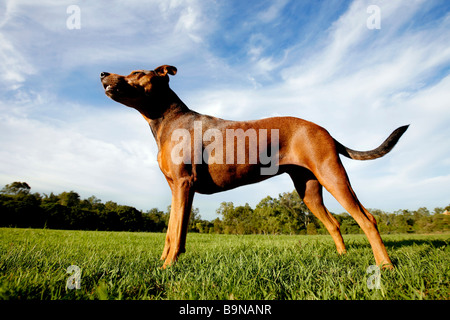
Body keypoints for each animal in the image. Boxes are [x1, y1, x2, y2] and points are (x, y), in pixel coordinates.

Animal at [101, 64, 408, 268]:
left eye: (137, 73)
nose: (103, 73)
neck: (167, 119)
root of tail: (326, 131)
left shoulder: (183, 184)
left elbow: (174, 232)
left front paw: (167, 268)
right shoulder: (178, 188)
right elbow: (172, 233)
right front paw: (166, 262)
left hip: (333, 176)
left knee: (367, 220)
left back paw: (385, 265)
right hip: (309, 189)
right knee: (333, 223)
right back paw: (343, 257)